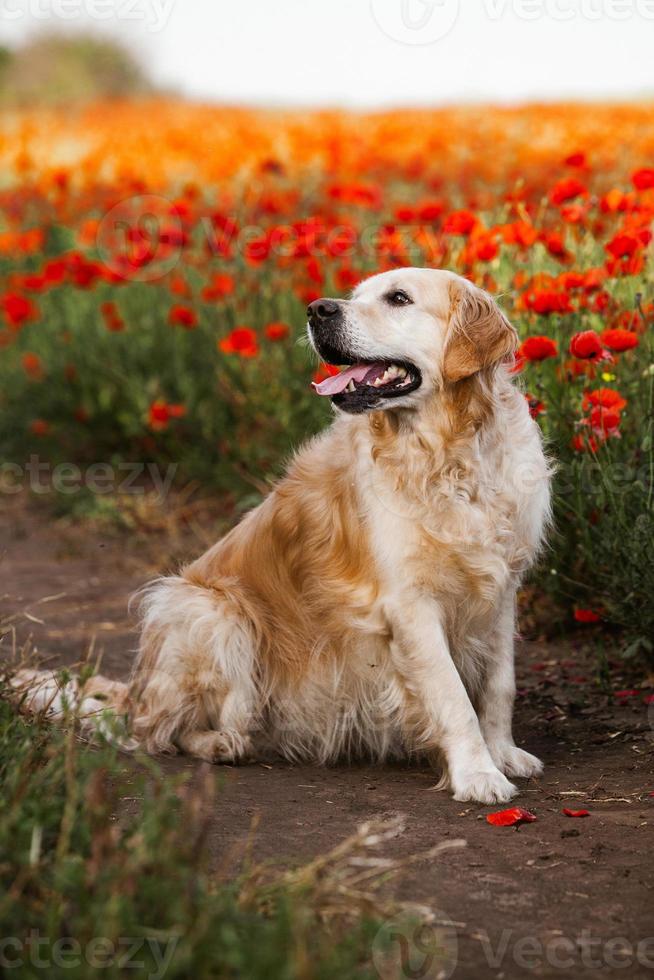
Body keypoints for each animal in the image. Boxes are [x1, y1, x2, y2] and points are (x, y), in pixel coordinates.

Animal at [11, 268, 552, 804]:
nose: (317, 309)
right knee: (162, 731)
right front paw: (477, 774)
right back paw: (222, 742)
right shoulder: (410, 603)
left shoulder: (502, 589)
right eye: (354, 294)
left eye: (399, 298)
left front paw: (503, 754)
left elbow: (500, 685)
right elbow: (453, 695)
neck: (452, 453)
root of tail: (136, 694)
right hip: (210, 613)